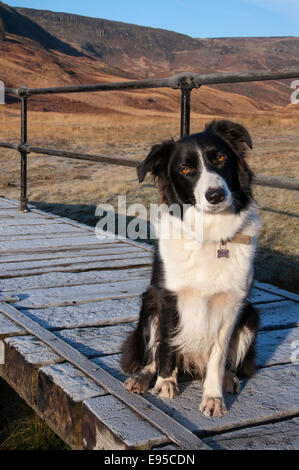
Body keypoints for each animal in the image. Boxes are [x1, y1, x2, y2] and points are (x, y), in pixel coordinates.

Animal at [120, 119, 262, 416]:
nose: (216, 195)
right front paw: (164, 383)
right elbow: (166, 346)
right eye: (185, 169)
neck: (209, 235)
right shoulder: (167, 297)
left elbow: (218, 356)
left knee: (227, 361)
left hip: (251, 317)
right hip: (148, 306)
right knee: (154, 353)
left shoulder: (233, 304)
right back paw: (142, 377)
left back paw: (228, 378)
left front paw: (213, 396)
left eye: (220, 158)